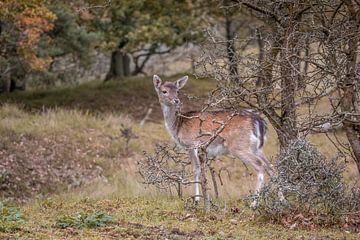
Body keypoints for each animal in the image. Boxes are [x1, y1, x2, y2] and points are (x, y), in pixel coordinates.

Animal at [152, 74, 278, 207]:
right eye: (164, 91)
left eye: (177, 91)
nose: (176, 100)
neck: (178, 125)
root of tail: (259, 121)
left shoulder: (192, 144)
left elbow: (196, 169)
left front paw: (197, 200)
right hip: (257, 148)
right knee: (271, 167)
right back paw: (281, 199)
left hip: (239, 146)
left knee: (260, 165)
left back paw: (254, 203)